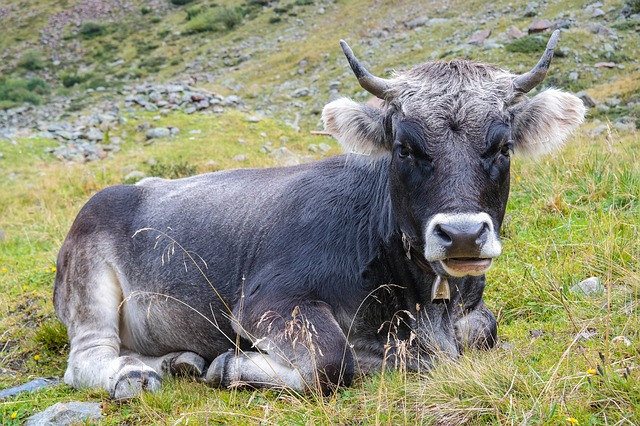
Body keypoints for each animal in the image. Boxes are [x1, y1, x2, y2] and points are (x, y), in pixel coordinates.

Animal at [55, 30, 584, 400]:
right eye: (405, 148)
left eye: (503, 146)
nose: (463, 235)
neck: (423, 304)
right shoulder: (267, 301)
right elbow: (332, 362)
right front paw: (228, 366)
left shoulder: (471, 316)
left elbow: (485, 331)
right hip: (89, 278)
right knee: (86, 358)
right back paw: (135, 376)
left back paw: (174, 361)